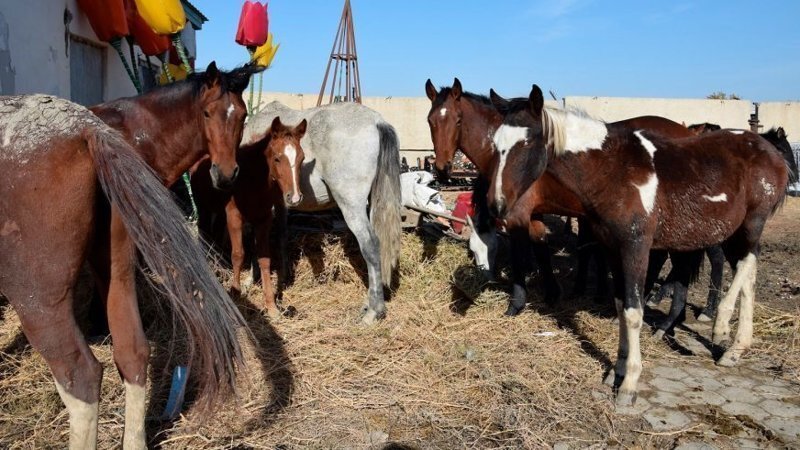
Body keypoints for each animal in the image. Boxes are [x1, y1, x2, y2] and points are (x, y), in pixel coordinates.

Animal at [0, 94, 248, 446]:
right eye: (208, 113)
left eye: (242, 117)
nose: (226, 175)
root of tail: (86, 129)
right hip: (117, 273)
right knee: (133, 351)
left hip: (38, 298)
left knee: (81, 378)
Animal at [193, 118, 306, 318]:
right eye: (277, 158)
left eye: (302, 158)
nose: (294, 197)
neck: (252, 181)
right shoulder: (234, 217)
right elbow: (238, 254)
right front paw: (236, 295)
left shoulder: (263, 220)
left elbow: (264, 259)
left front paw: (272, 306)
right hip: (204, 208)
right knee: (204, 234)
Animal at [488, 84, 788, 408]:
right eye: (495, 143)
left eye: (526, 142)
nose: (497, 205)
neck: (612, 171)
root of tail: (769, 149)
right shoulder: (612, 249)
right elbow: (621, 305)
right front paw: (616, 371)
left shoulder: (636, 247)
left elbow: (634, 311)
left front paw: (629, 384)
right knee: (749, 272)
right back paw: (735, 348)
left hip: (751, 223)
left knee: (747, 263)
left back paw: (721, 325)